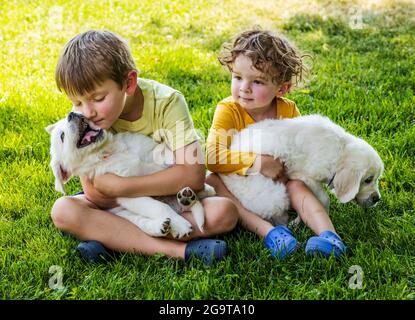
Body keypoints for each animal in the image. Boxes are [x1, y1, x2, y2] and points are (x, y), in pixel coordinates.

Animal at [46, 112, 214, 238]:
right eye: (62, 136)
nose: (72, 113)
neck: (109, 150)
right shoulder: (126, 192)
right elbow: (159, 207)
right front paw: (180, 225)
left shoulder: (148, 148)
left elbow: (161, 151)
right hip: (125, 214)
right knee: (146, 221)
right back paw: (164, 224)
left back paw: (191, 194)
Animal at [219, 114, 386, 225]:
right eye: (368, 180)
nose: (377, 199)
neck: (340, 150)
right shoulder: (303, 175)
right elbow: (324, 198)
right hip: (275, 195)